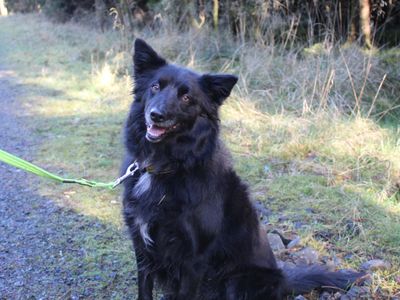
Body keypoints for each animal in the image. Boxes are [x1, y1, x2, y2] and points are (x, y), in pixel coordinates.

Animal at [122, 38, 362, 298]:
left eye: (187, 98)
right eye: (155, 87)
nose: (156, 115)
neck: (168, 165)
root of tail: (285, 282)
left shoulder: (193, 260)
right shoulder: (142, 247)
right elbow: (144, 289)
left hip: (237, 281)